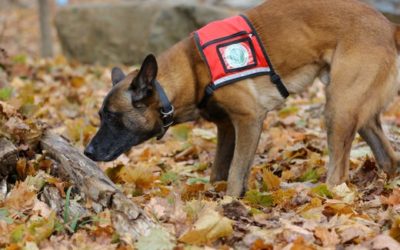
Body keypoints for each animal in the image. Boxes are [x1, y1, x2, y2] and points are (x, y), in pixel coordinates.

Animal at [83, 0, 400, 197]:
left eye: (112, 117)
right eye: (101, 116)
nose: (87, 152)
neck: (192, 69)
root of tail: (388, 26)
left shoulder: (249, 120)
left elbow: (236, 173)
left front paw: (229, 204)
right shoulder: (226, 127)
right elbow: (219, 172)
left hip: (338, 109)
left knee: (338, 175)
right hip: (357, 112)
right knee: (389, 159)